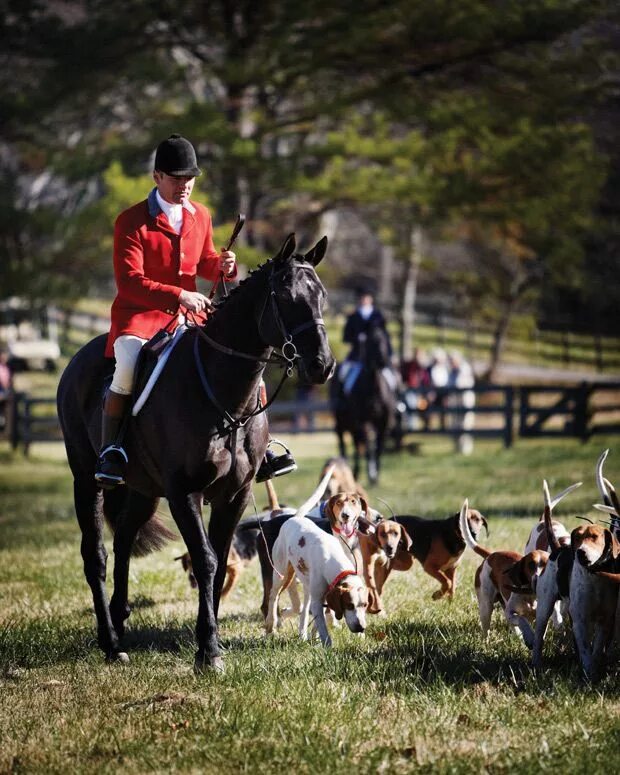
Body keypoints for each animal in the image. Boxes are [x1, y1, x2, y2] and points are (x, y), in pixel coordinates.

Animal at [57, 233, 334, 668]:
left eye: (321, 295)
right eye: (287, 297)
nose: (322, 365)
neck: (223, 393)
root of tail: (77, 361)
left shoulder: (235, 495)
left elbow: (219, 565)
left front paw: (212, 640)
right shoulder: (184, 493)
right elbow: (205, 560)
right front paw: (208, 651)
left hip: (143, 490)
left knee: (123, 541)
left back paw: (120, 620)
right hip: (88, 481)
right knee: (96, 555)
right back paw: (110, 643)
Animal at [334, 326, 398, 484]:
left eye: (385, 339)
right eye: (372, 342)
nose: (383, 361)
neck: (374, 386)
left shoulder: (384, 423)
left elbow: (378, 447)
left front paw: (376, 475)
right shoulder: (364, 422)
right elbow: (369, 447)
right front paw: (371, 473)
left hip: (353, 424)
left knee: (357, 444)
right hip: (342, 420)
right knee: (344, 442)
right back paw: (348, 469)